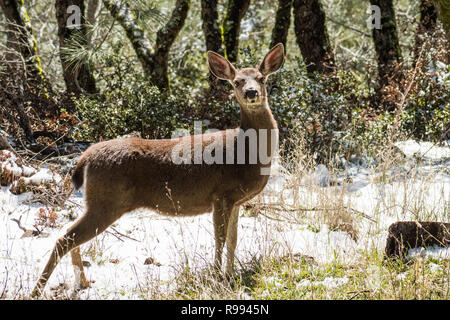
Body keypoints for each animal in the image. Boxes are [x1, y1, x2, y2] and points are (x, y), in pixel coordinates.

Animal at [31, 42, 284, 298]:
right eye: (237, 81)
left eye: (261, 78)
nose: (251, 92)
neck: (246, 152)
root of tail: (86, 157)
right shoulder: (220, 194)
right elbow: (220, 239)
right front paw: (216, 277)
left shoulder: (235, 199)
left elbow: (233, 240)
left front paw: (230, 276)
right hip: (105, 201)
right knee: (65, 238)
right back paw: (37, 290)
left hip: (100, 202)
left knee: (71, 236)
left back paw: (82, 282)